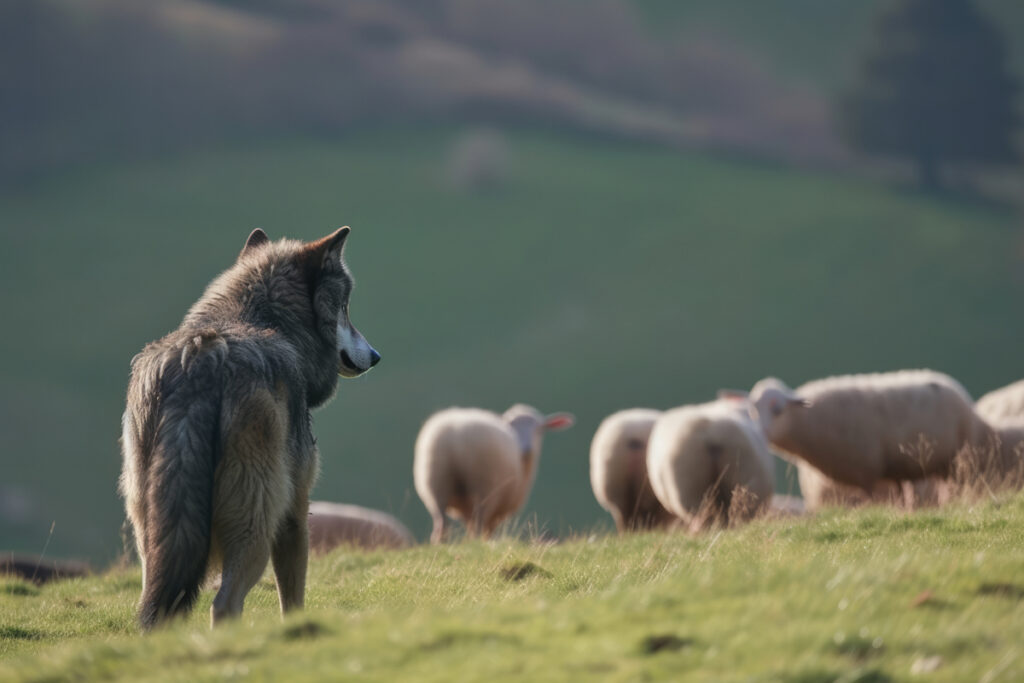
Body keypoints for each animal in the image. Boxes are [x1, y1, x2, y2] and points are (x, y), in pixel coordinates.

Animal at [119, 227, 379, 629]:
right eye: (344, 308)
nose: (376, 356)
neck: (261, 321)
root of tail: (200, 360)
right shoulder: (294, 511)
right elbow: (293, 598)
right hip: (255, 527)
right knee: (224, 604)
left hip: (152, 534)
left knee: (159, 608)